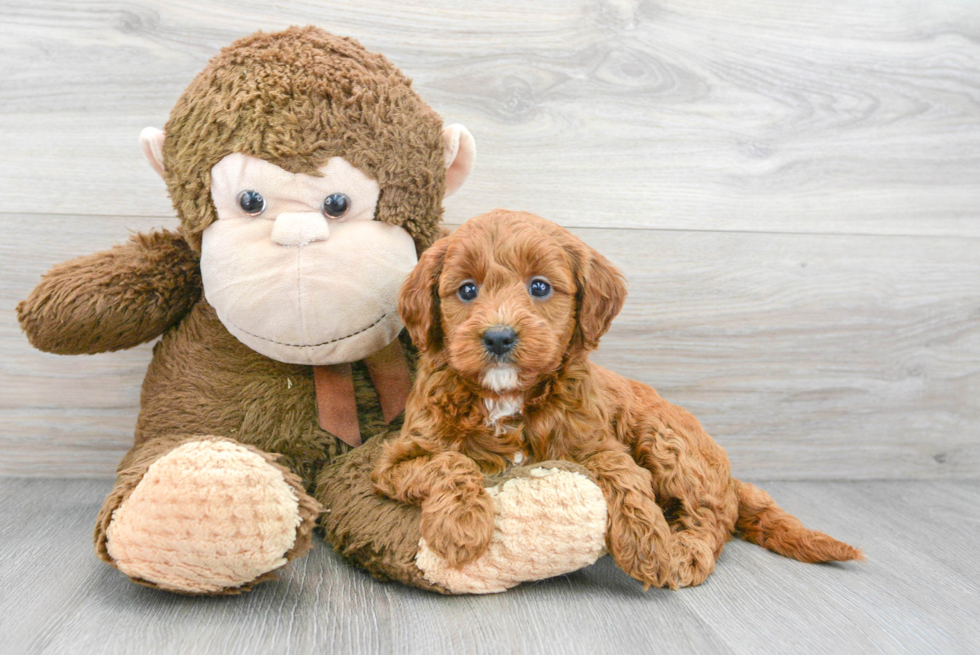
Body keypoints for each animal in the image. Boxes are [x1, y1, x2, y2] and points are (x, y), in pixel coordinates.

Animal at [372, 210, 860, 588]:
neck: (507, 394)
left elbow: (624, 475)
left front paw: (649, 547)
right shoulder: (399, 457)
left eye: (540, 287)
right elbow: (450, 461)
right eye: (467, 290)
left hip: (667, 439)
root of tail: (728, 473)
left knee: (712, 517)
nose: (498, 336)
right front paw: (461, 525)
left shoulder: (596, 441)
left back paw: (683, 552)